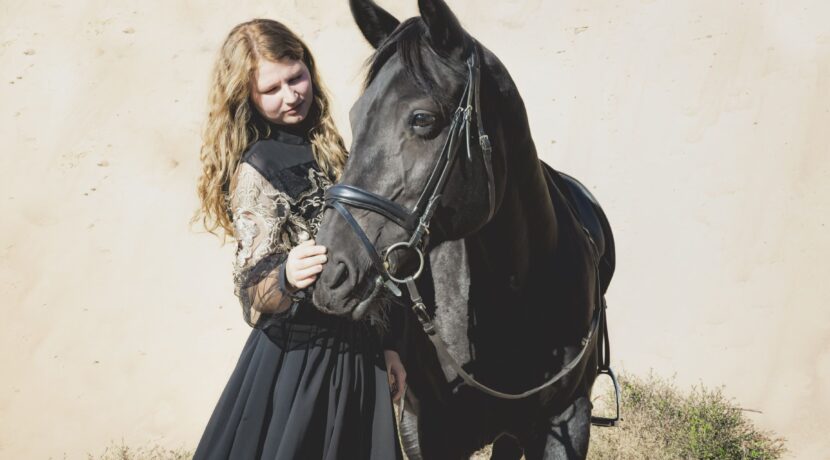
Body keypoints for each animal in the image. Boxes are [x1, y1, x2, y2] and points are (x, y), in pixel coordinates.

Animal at [316, 1, 616, 458]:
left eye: (422, 118)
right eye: (354, 116)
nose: (330, 273)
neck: (516, 298)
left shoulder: (569, 420)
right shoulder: (427, 429)